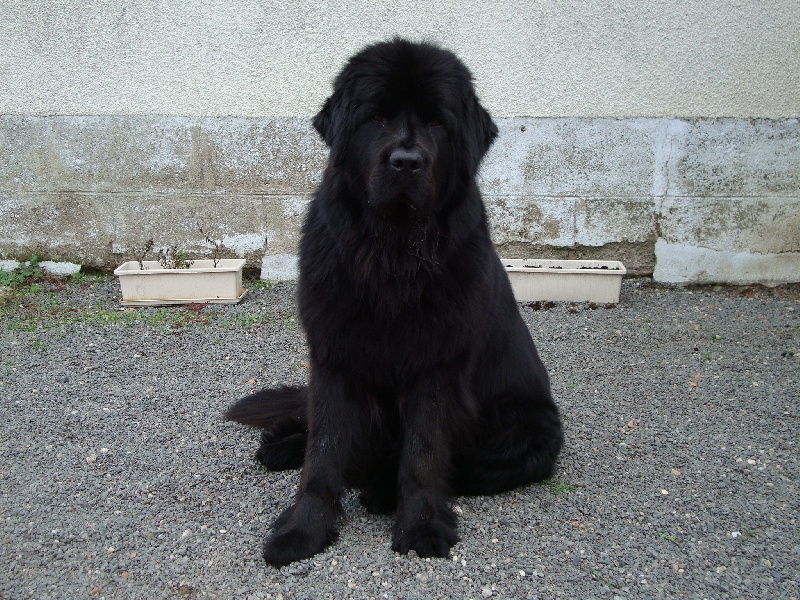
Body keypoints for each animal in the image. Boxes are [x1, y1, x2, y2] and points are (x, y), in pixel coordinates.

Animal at [225, 38, 564, 568]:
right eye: (377, 118)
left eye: (437, 122)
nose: (406, 161)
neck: (392, 253)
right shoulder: (332, 359)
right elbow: (323, 453)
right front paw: (303, 530)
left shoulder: (434, 369)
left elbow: (423, 455)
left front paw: (421, 525)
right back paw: (282, 446)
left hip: (529, 432)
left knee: (454, 466)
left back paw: (380, 491)